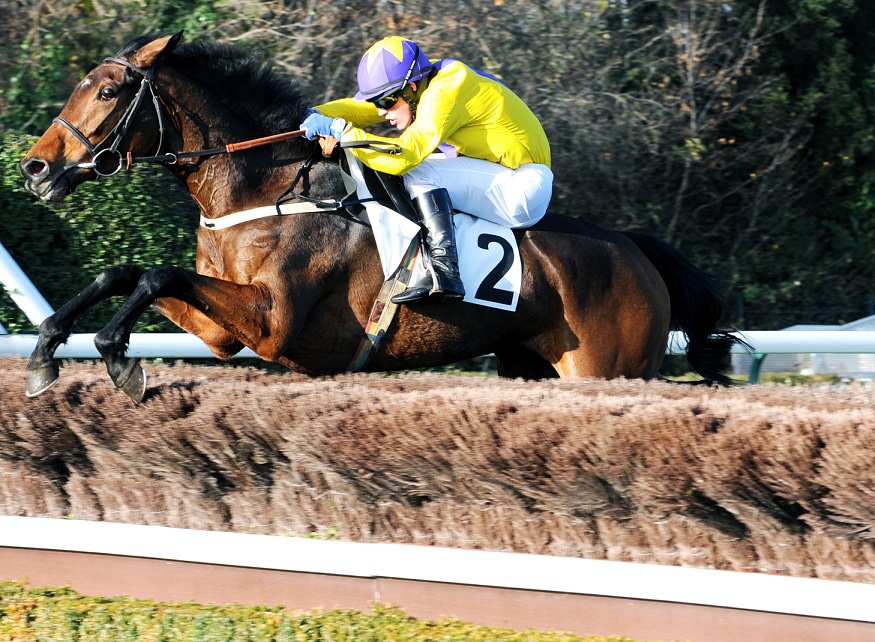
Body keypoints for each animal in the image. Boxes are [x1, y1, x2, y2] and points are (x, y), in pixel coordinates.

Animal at [17, 32, 744, 402]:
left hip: (608, 368)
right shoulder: (224, 331)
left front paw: (116, 354)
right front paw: (49, 347)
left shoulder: (273, 324)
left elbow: (154, 274)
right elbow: (125, 272)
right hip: (528, 362)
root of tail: (633, 248)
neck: (260, 191)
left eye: (108, 91)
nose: (36, 168)